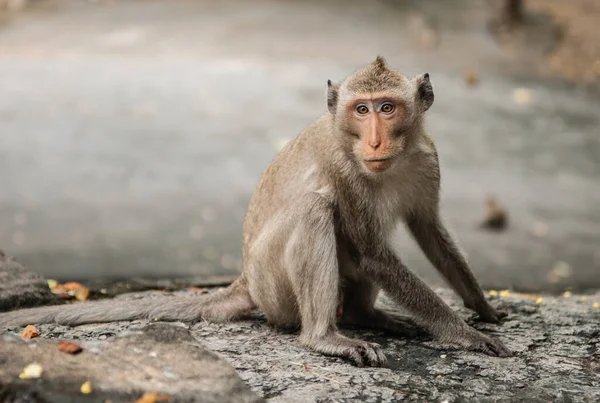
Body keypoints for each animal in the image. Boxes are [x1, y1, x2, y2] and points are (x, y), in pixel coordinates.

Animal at [1, 55, 516, 368]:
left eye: (387, 108)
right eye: (361, 109)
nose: (373, 141)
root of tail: (246, 279)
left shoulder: (427, 159)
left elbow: (429, 230)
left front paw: (482, 308)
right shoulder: (341, 165)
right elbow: (373, 252)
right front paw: (461, 333)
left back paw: (367, 314)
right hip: (274, 288)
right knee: (316, 209)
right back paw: (324, 336)